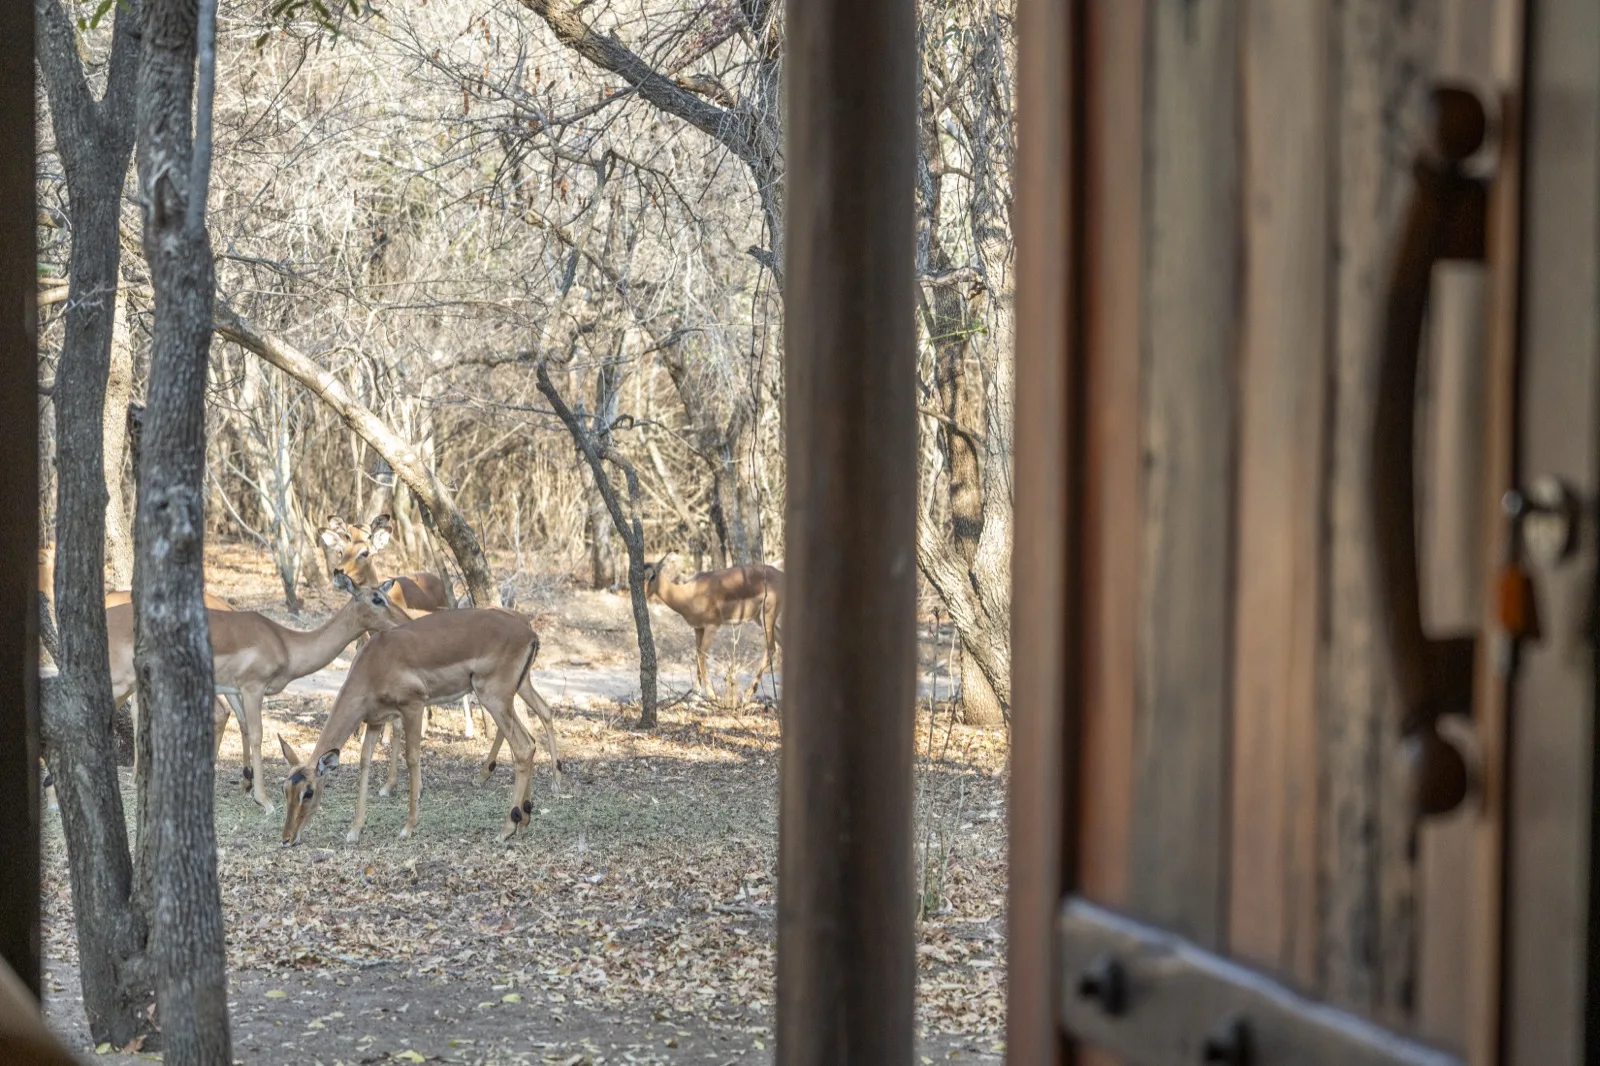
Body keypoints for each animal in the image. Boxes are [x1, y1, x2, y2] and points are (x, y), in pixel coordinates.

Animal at [107, 573, 410, 811]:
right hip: (121, 685)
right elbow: (256, 734)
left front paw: (247, 786)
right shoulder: (253, 688)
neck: (284, 642)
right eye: (377, 599)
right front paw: (263, 800)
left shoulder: (236, 689)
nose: (404, 622)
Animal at [277, 608, 561, 846]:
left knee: (523, 747)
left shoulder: (413, 707)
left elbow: (412, 757)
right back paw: (523, 821)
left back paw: (506, 829)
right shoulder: (375, 721)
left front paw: (408, 827)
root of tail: (529, 633)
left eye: (308, 792)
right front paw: (355, 830)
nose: (287, 839)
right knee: (533, 736)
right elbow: (364, 762)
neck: (374, 662)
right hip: (513, 694)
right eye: (285, 789)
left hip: (493, 697)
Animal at [643, 553, 784, 703]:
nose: (644, 595)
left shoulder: (712, 626)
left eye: (652, 576)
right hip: (761, 620)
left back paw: (746, 696)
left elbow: (701, 655)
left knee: (771, 649)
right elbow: (697, 654)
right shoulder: (698, 628)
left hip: (767, 618)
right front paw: (696, 695)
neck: (689, 593)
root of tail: (780, 575)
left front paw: (711, 695)